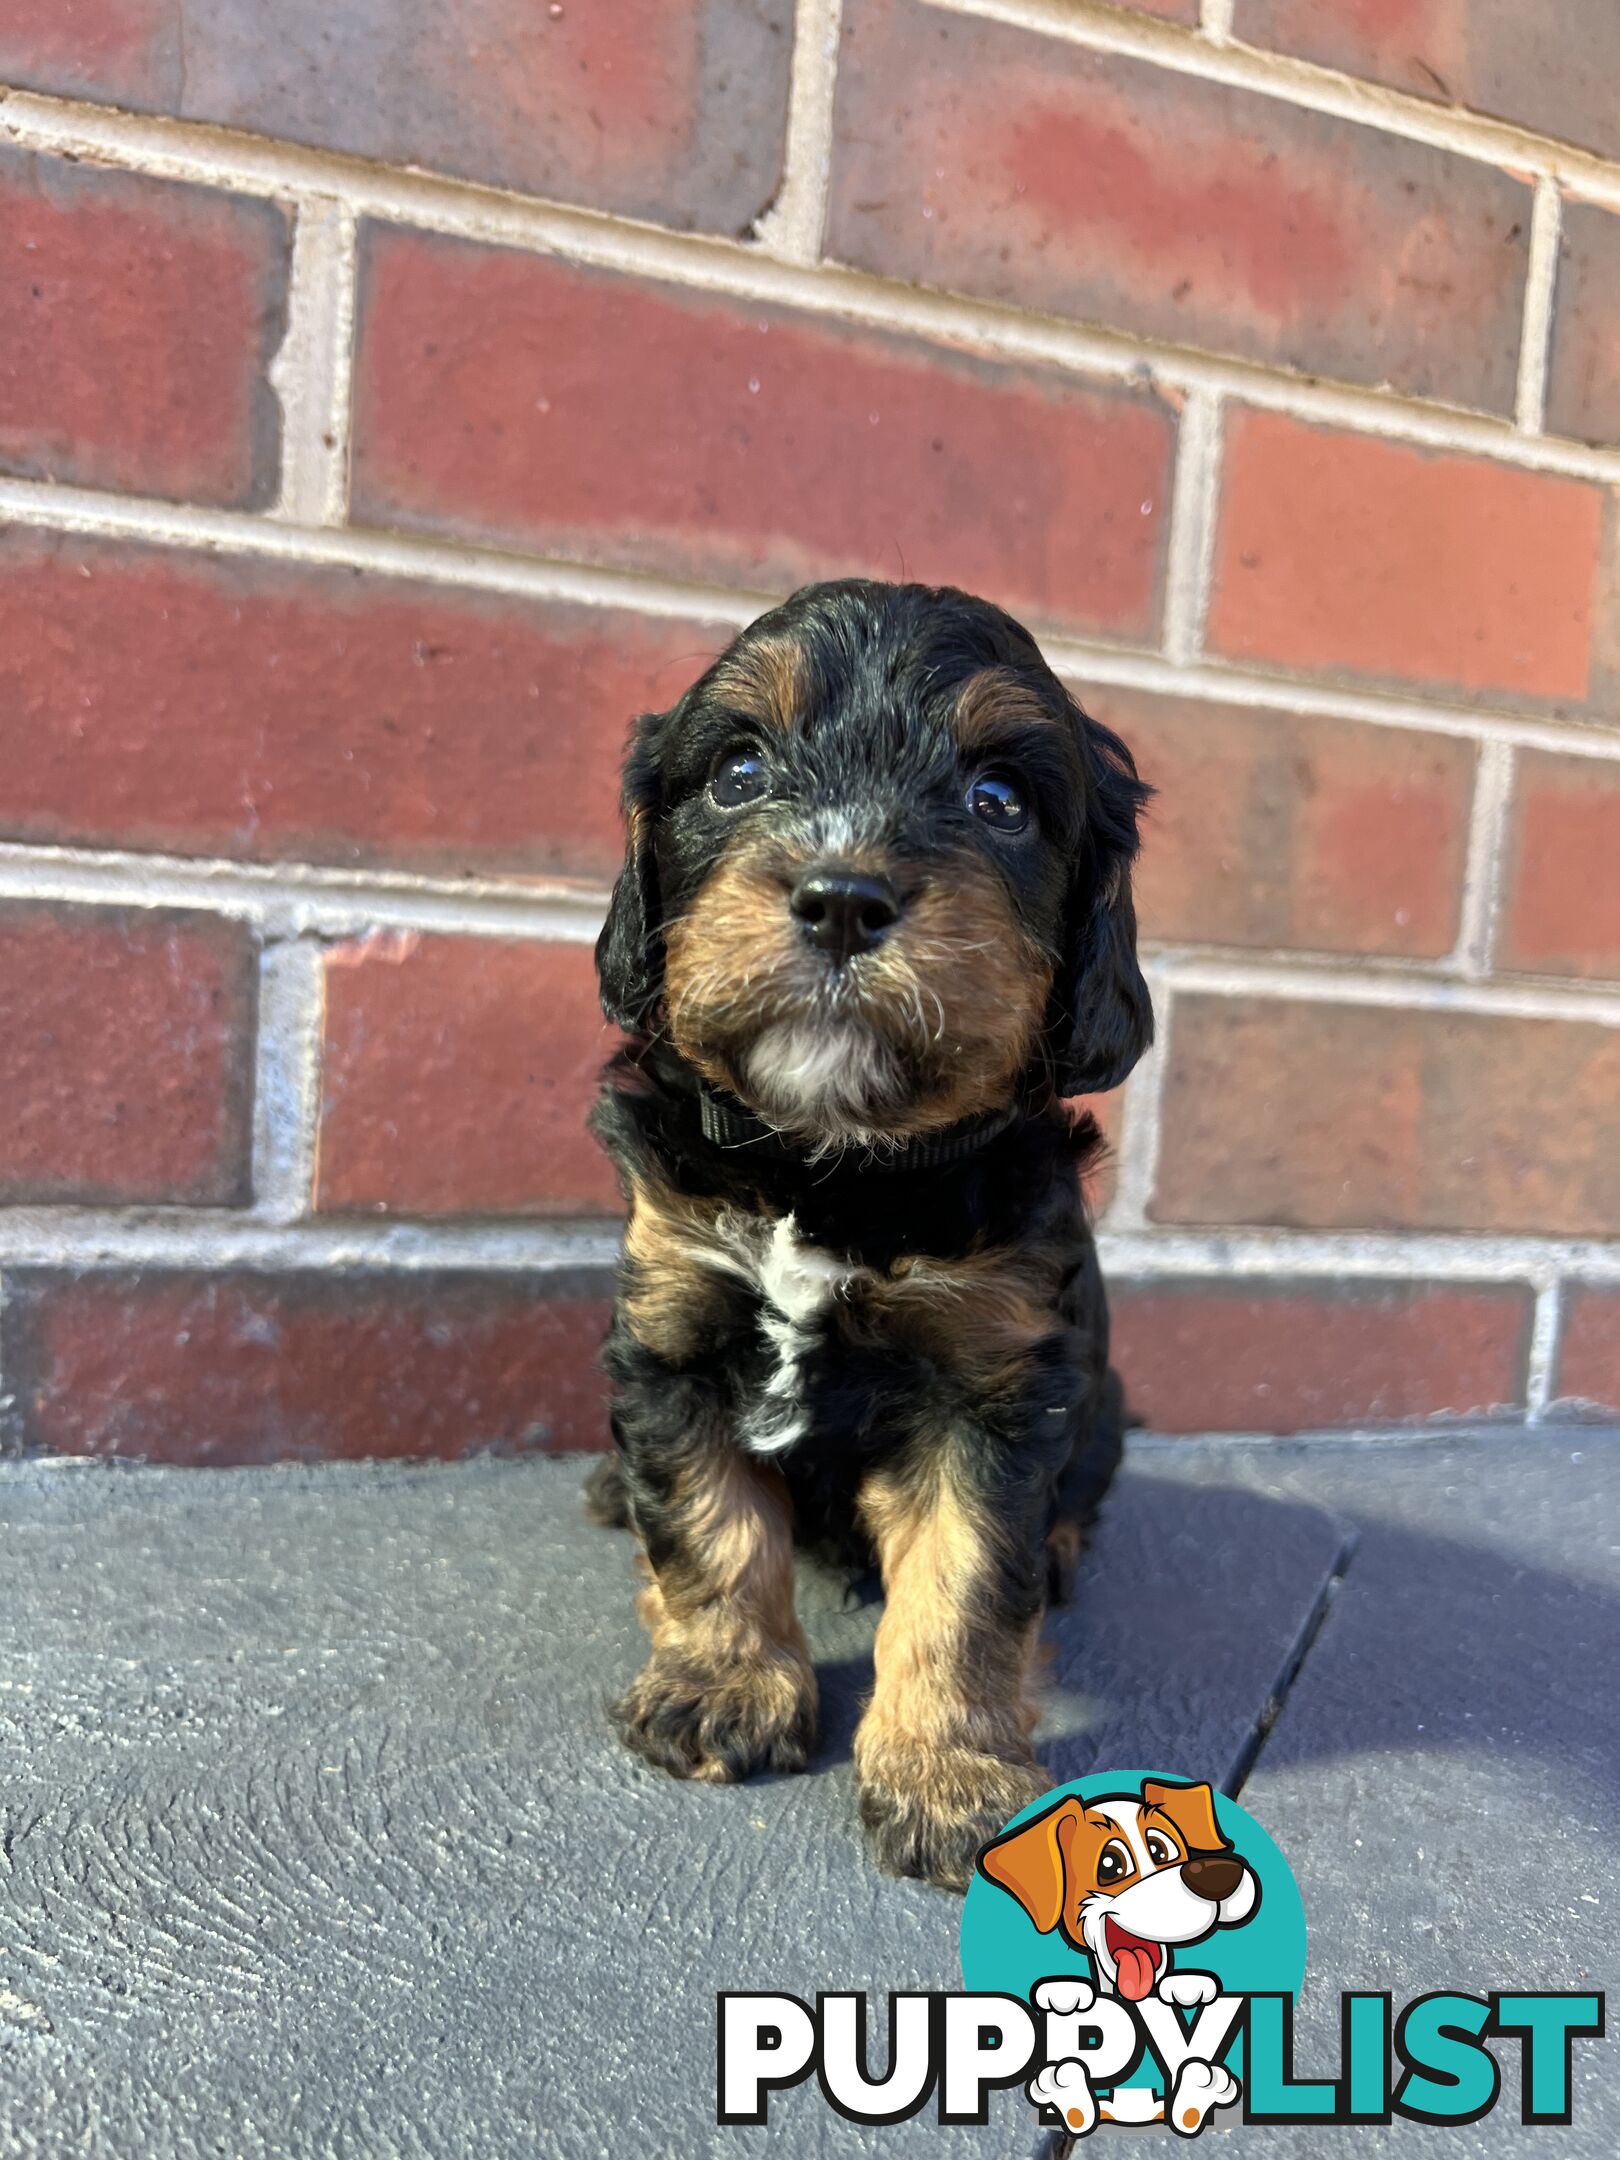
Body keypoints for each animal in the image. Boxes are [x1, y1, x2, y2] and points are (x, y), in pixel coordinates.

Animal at [583, 578, 1157, 1892]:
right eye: (739, 769)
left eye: (1000, 801)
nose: (842, 899)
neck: (826, 1161)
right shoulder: (673, 1325)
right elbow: (707, 1523)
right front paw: (720, 1690)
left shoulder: (991, 1387)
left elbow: (964, 1583)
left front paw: (949, 1778)